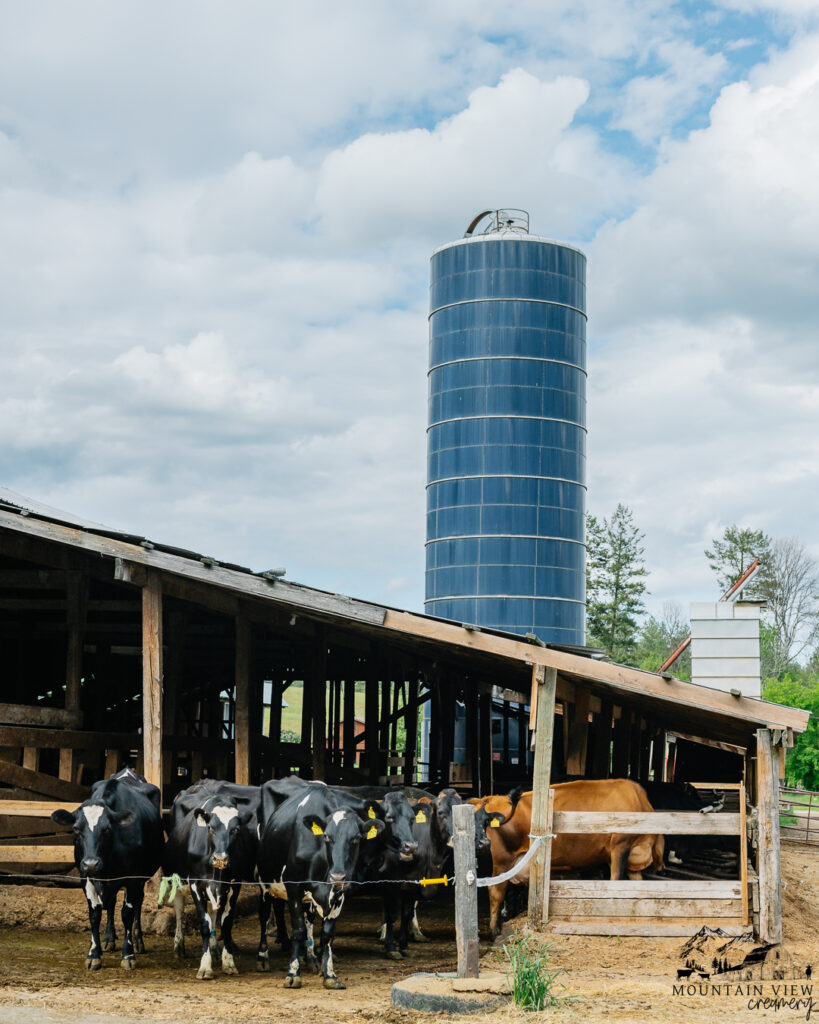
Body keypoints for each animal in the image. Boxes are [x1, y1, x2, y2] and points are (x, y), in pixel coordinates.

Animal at [50, 770, 162, 966]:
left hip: (142, 877)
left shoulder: (132, 878)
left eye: (107, 829)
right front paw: (94, 953)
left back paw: (138, 940)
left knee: (138, 903)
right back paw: (109, 938)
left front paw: (128, 954)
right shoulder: (85, 877)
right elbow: (95, 913)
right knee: (111, 904)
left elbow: (127, 913)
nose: (91, 863)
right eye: (76, 828)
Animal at [162, 778, 259, 978]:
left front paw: (228, 961)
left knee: (213, 913)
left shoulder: (234, 884)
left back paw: (214, 949)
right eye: (210, 828)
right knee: (179, 910)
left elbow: (225, 923)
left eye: (235, 829)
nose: (220, 859)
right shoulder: (195, 883)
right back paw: (178, 946)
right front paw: (205, 966)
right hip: (176, 878)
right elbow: (204, 924)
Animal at [259, 778, 386, 987]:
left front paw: (330, 974)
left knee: (309, 919)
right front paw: (293, 974)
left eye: (356, 838)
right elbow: (298, 930)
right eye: (326, 836)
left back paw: (311, 959)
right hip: (264, 883)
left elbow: (327, 934)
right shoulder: (294, 886)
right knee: (264, 915)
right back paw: (262, 958)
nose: (338, 876)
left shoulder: (338, 893)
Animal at [477, 782, 663, 937]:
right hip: (502, 861)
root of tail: (492, 798)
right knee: (496, 891)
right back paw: (495, 931)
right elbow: (616, 880)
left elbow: (637, 885)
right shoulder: (620, 845)